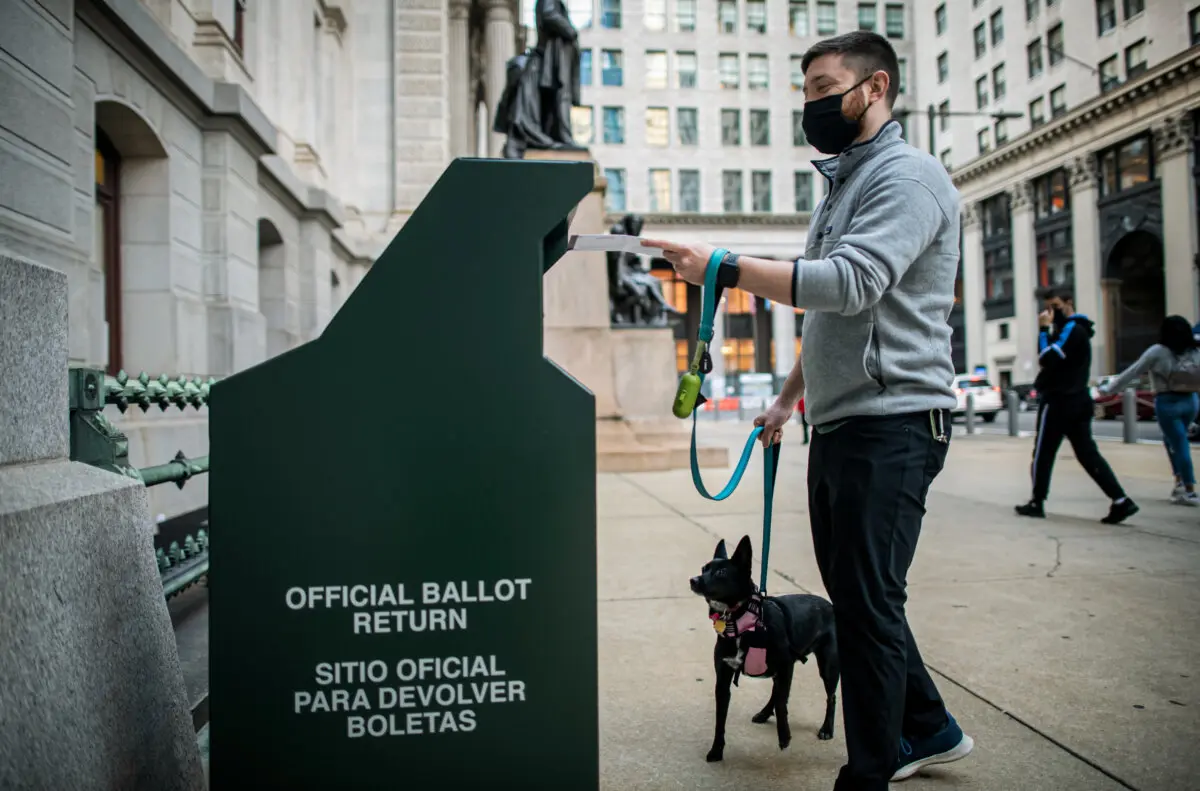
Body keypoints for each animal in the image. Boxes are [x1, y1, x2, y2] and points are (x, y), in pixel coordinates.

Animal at [691, 535, 840, 763]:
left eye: (721, 572)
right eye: (703, 568)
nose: (693, 580)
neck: (742, 620)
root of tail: (830, 605)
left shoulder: (786, 665)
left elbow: (782, 702)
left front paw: (784, 736)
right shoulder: (723, 680)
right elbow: (720, 720)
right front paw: (716, 750)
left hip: (828, 666)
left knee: (829, 697)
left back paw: (826, 729)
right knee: (777, 690)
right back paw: (764, 712)